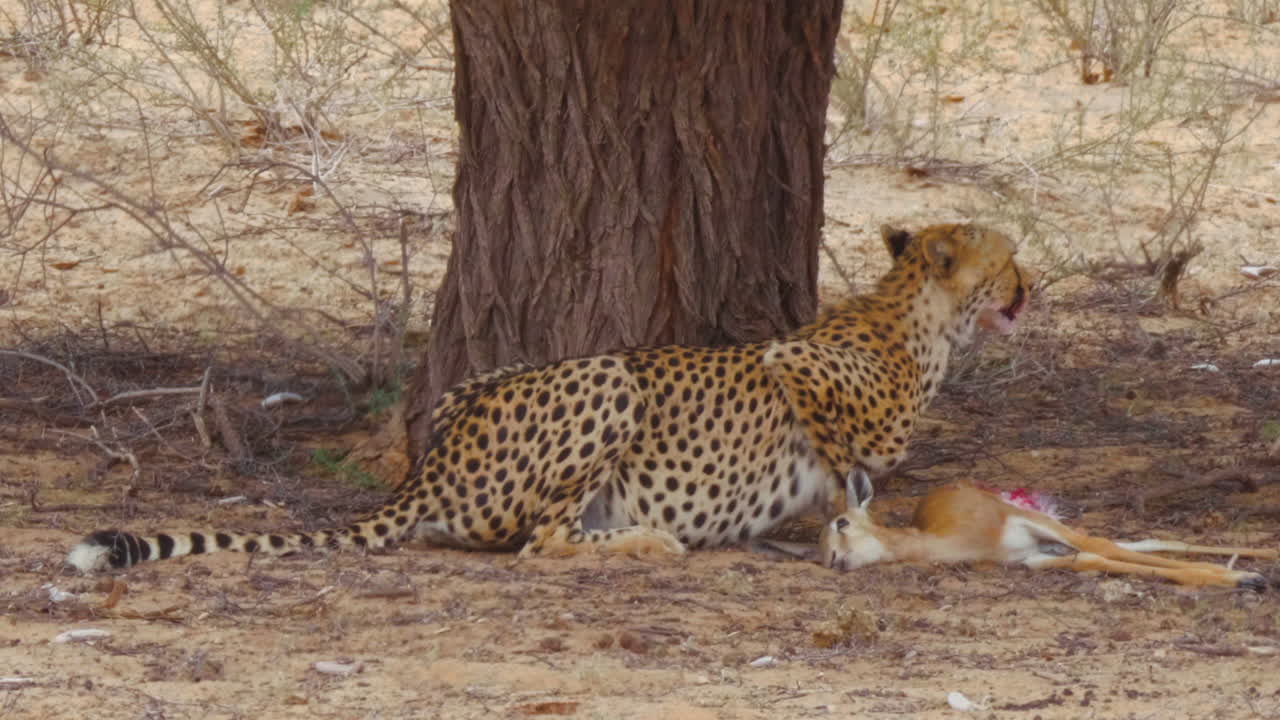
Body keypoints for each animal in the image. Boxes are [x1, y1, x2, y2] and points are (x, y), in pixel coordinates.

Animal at [67, 222, 1029, 572]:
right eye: (1009, 256)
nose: (1033, 285)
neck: (916, 312)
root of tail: (429, 465)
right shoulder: (794, 364)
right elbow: (850, 454)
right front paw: (855, 511)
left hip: (476, 383)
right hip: (608, 375)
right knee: (541, 543)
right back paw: (649, 541)